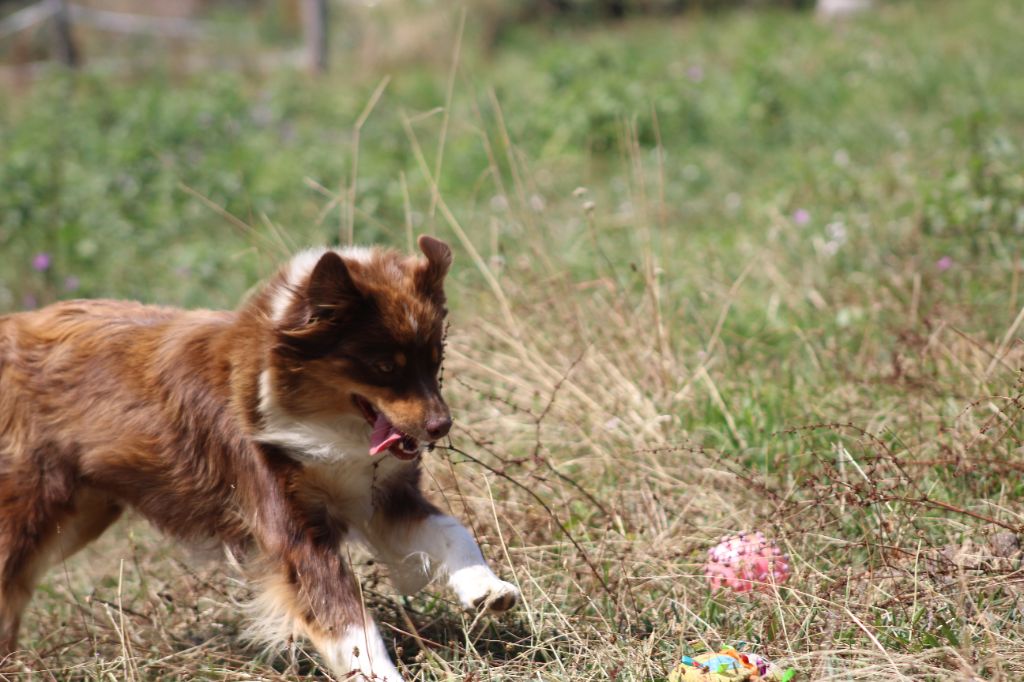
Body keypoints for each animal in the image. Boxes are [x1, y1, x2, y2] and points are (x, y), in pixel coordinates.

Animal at [0, 235, 520, 679]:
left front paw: (486, 587)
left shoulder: (381, 496)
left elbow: (451, 530)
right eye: (383, 367)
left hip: (84, 512)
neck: (314, 415)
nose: (441, 426)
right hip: (30, 511)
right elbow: (347, 620)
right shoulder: (291, 526)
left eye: (435, 361)